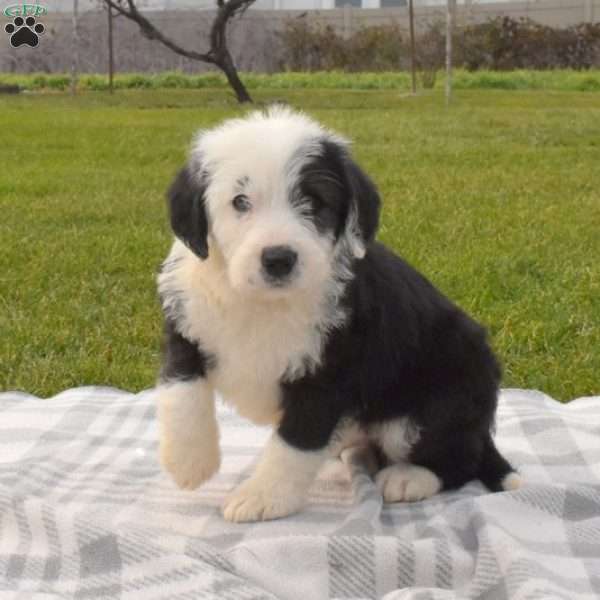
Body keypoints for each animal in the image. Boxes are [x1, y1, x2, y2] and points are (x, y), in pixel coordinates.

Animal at [156, 109, 520, 524]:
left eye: (314, 202)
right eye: (240, 201)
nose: (278, 258)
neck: (263, 302)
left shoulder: (329, 373)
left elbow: (294, 442)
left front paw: (264, 496)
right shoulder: (185, 325)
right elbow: (181, 389)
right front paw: (188, 461)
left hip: (429, 409)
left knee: (460, 460)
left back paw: (408, 478)